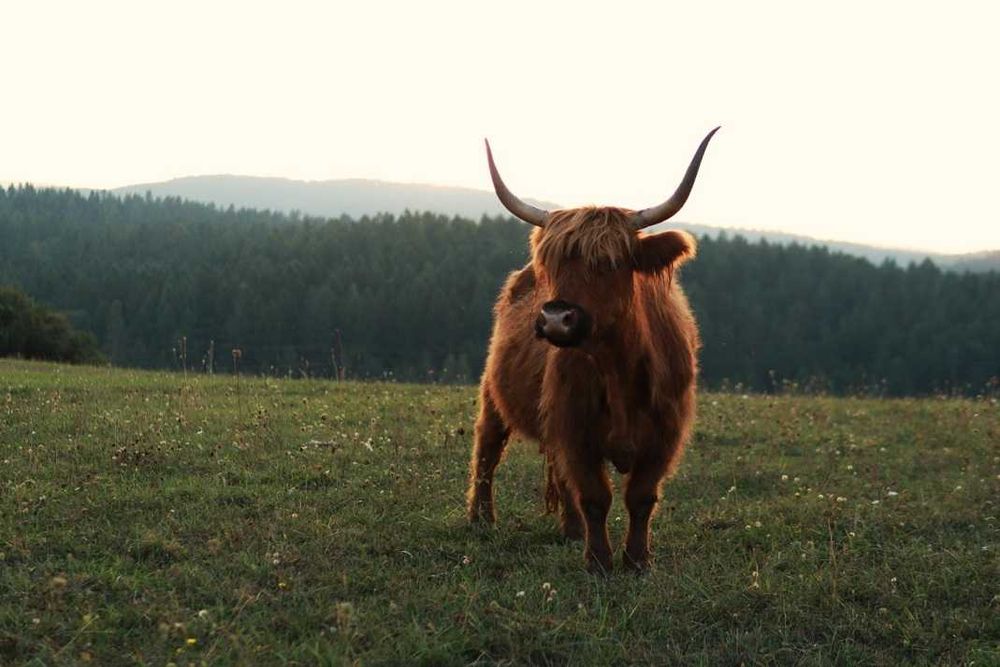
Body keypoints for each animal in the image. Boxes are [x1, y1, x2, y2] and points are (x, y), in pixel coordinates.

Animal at [466, 128, 719, 572]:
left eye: (611, 263)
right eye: (551, 262)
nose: (555, 319)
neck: (618, 368)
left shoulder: (665, 435)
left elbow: (640, 497)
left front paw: (636, 560)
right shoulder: (575, 429)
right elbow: (595, 496)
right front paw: (599, 561)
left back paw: (570, 529)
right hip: (493, 394)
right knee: (487, 449)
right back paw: (481, 517)